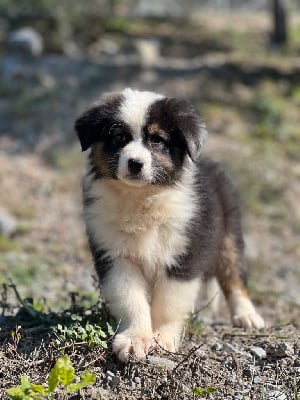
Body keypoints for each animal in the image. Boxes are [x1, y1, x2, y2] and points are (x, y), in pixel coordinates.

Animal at [74, 87, 262, 362]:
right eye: (118, 137)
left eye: (157, 140)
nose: (135, 163)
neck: (142, 199)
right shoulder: (115, 256)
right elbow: (130, 299)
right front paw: (134, 340)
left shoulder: (185, 253)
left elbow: (169, 303)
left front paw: (162, 338)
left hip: (229, 234)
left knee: (234, 276)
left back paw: (247, 316)